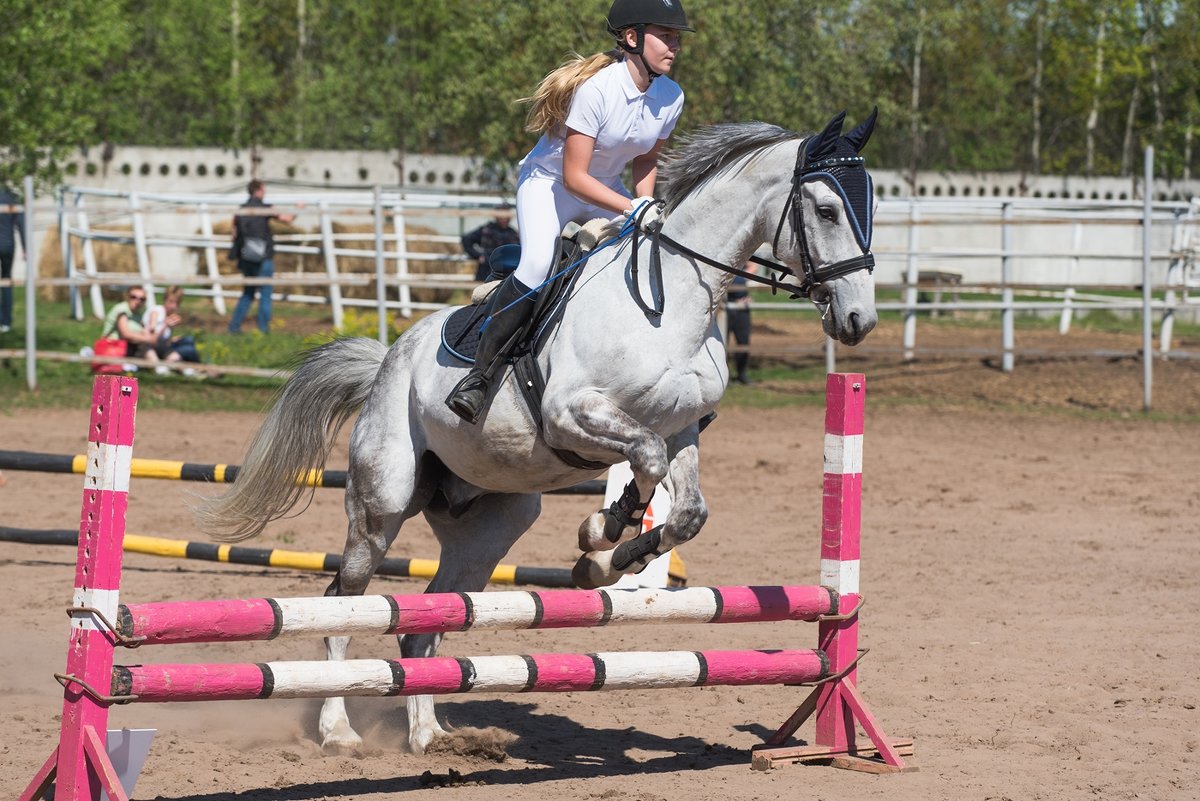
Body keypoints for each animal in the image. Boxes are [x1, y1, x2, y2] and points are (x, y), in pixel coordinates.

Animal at [196, 109, 883, 753]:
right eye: (826, 209)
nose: (859, 319)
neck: (676, 305)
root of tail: (388, 358)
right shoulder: (572, 414)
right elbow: (645, 458)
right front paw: (600, 535)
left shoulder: (683, 428)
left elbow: (683, 507)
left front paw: (604, 558)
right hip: (381, 502)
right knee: (347, 602)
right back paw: (339, 731)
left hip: (490, 527)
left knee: (425, 623)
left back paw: (430, 736)